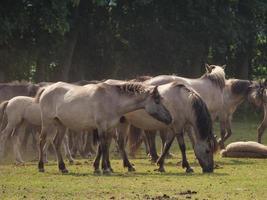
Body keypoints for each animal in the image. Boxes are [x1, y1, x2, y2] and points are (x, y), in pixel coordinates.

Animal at [35, 81, 172, 173]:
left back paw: (63, 168)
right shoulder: (101, 127)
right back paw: (41, 166)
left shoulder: (109, 128)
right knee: (41, 141)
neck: (112, 100)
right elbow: (104, 146)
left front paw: (103, 167)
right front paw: (105, 168)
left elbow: (104, 146)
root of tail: (46, 89)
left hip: (61, 125)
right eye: (157, 101)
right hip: (47, 123)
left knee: (56, 143)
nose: (170, 118)